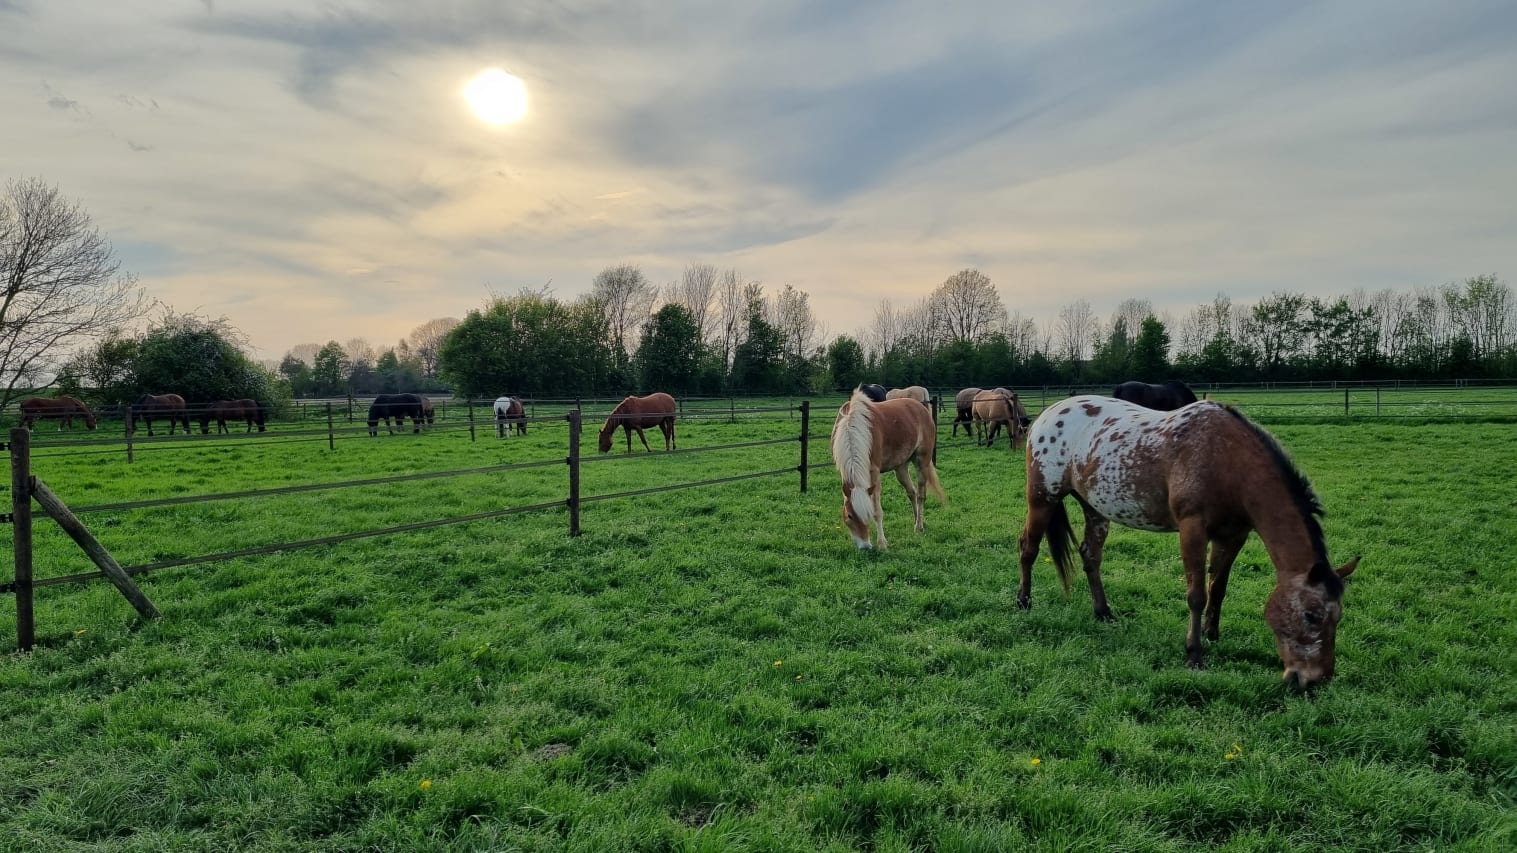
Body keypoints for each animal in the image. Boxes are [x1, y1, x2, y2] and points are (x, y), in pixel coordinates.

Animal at [831, 387, 945, 550]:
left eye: (867, 514)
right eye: (849, 516)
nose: (865, 547)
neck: (853, 428)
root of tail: (921, 407)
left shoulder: (874, 473)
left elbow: (877, 511)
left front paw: (882, 543)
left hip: (922, 461)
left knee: (920, 495)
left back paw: (919, 526)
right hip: (901, 468)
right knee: (912, 492)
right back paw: (918, 520)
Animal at [1017, 395, 1360, 689]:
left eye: (1338, 617)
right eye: (1311, 615)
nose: (1315, 679)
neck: (1227, 460)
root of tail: (1048, 413)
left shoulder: (1234, 535)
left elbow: (1218, 588)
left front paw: (1213, 633)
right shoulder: (1192, 528)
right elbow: (1197, 595)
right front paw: (1194, 653)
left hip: (1095, 508)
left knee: (1091, 556)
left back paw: (1103, 612)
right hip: (1042, 498)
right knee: (1028, 548)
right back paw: (1024, 602)